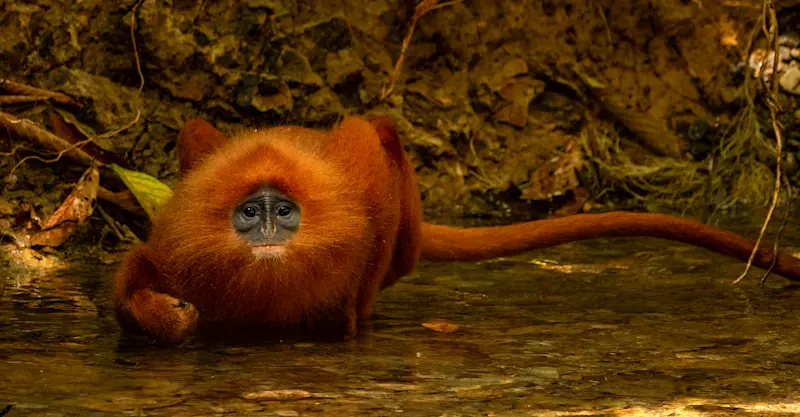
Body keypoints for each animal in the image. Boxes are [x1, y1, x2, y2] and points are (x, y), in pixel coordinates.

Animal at [112, 116, 800, 345]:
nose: (265, 234)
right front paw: (162, 317)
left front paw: (347, 324)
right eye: (249, 213)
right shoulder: (181, 249)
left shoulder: (358, 190)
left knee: (382, 132)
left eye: (282, 213)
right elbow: (132, 289)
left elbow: (367, 142)